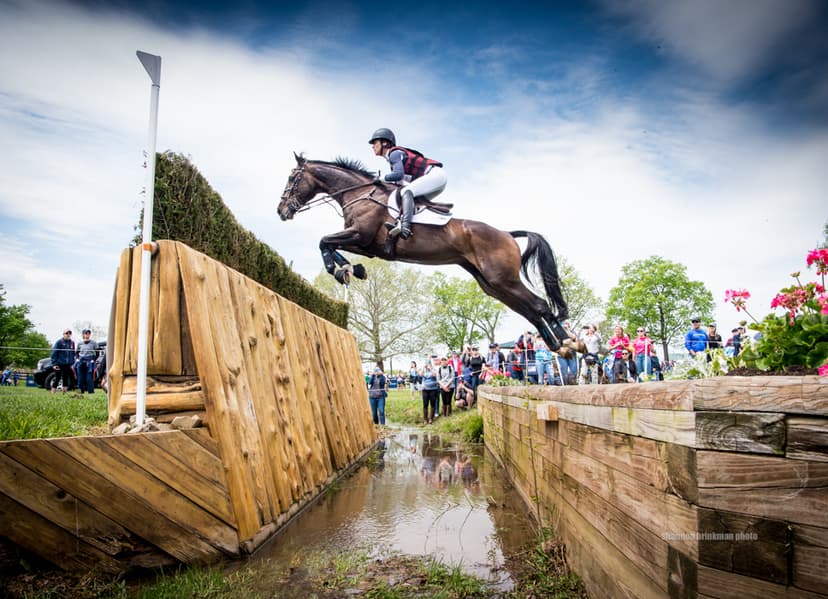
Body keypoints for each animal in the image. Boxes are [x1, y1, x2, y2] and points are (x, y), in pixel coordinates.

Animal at [277, 153, 573, 352]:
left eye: (292, 178)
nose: (281, 211)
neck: (360, 194)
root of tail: (506, 234)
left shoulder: (361, 235)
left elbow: (323, 241)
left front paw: (339, 270)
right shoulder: (366, 245)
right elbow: (329, 245)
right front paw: (350, 270)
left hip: (503, 279)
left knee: (540, 305)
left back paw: (571, 343)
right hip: (492, 285)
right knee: (531, 311)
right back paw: (558, 346)